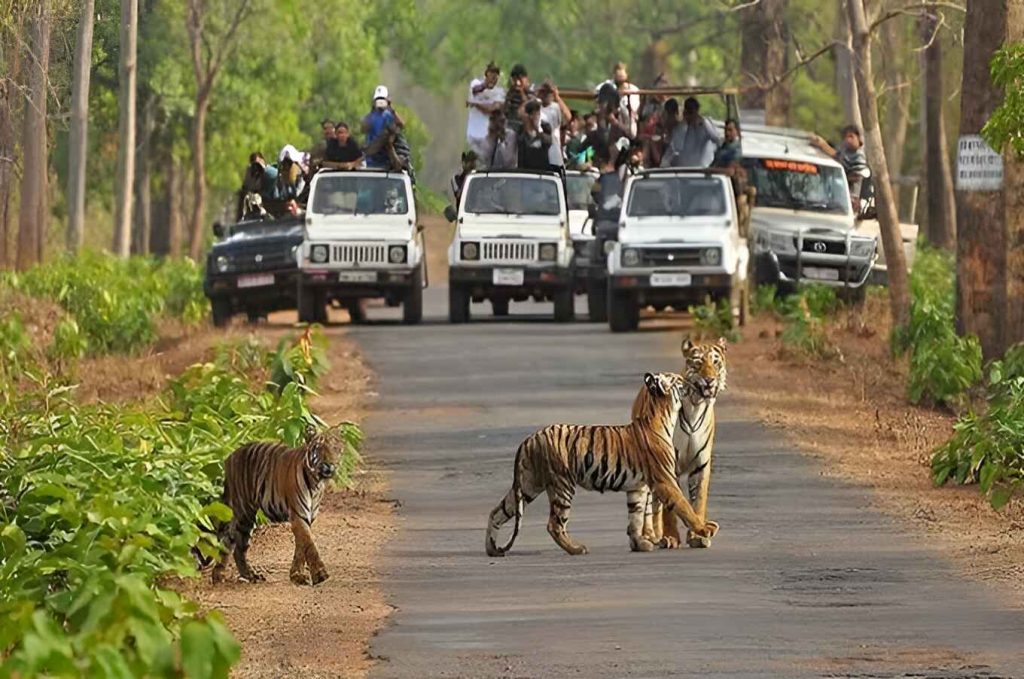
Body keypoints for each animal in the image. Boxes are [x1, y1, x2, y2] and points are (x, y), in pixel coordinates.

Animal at [211, 428, 344, 585]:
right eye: (319, 448)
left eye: (335, 448)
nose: (329, 465)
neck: (317, 482)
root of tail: (230, 456)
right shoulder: (298, 515)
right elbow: (309, 545)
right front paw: (320, 575)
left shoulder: (307, 517)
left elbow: (301, 546)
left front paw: (296, 575)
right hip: (243, 511)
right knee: (233, 542)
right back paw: (227, 576)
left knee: (234, 544)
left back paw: (236, 575)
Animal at [483, 372, 716, 557]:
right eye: (679, 381)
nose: (694, 383)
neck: (662, 415)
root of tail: (530, 438)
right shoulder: (665, 480)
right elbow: (684, 506)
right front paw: (704, 529)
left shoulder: (638, 488)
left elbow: (636, 516)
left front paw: (639, 544)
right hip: (562, 485)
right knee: (554, 524)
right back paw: (577, 549)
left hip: (528, 485)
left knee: (497, 511)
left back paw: (492, 549)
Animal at [638, 337, 729, 548]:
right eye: (698, 362)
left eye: (716, 362)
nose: (710, 379)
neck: (696, 405)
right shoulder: (668, 466)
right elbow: (670, 507)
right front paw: (671, 537)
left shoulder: (701, 465)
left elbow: (698, 501)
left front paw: (698, 536)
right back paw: (652, 535)